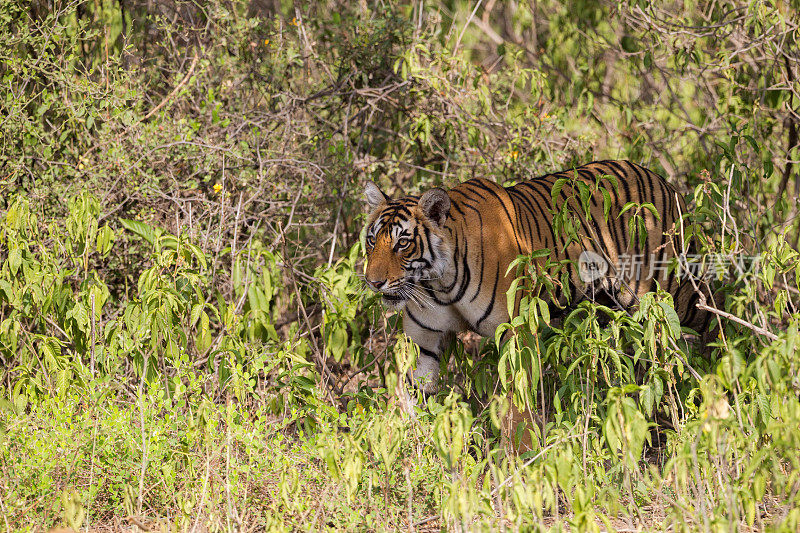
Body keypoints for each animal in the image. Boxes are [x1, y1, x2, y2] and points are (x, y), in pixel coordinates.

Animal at [362, 158, 712, 390]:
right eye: (372, 240)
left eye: (403, 243)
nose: (373, 282)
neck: (439, 283)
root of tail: (660, 178)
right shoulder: (423, 342)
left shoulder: (516, 333)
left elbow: (516, 404)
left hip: (668, 292)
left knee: (705, 317)